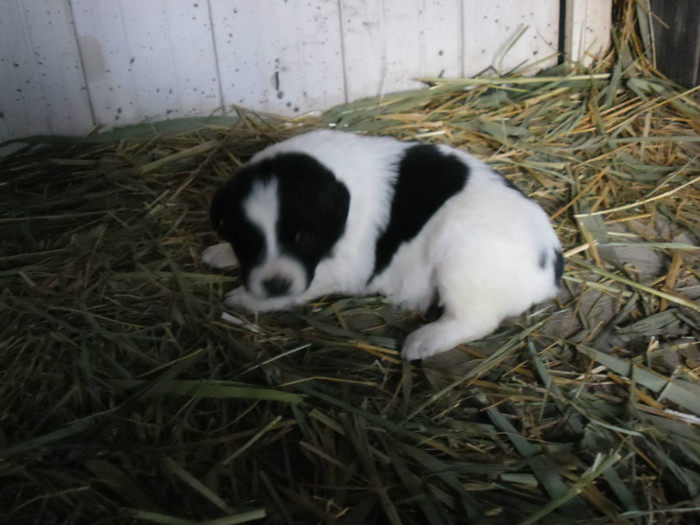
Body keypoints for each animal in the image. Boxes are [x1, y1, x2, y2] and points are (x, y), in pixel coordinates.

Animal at [202, 130, 564, 360]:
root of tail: (551, 269)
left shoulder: (345, 268)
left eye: (304, 238)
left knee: (474, 320)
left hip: (460, 257)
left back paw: (423, 341)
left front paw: (247, 298)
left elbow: (304, 286)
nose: (274, 284)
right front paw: (221, 253)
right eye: (246, 242)